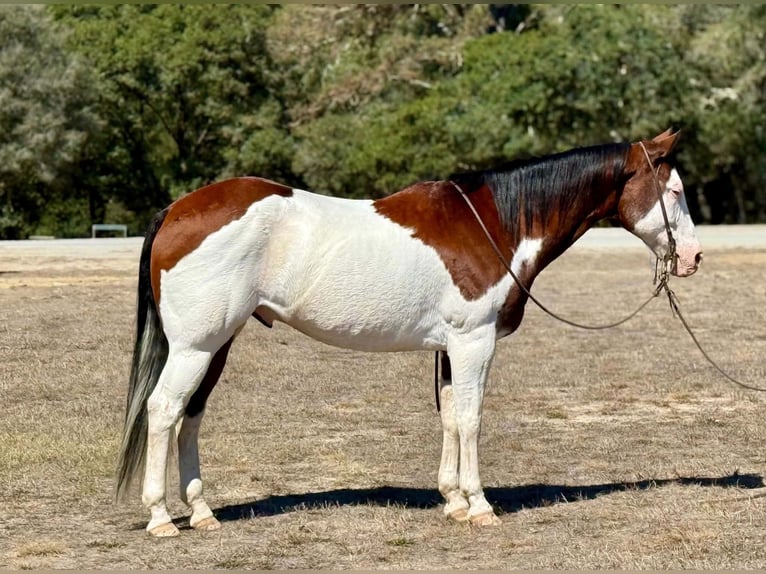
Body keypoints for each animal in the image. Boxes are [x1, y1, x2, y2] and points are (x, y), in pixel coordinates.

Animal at [116, 129, 702, 536]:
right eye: (673, 190)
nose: (694, 257)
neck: (498, 223)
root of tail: (177, 209)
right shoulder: (473, 341)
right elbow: (470, 418)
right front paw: (480, 506)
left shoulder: (449, 348)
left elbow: (449, 417)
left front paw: (454, 501)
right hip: (195, 347)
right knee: (164, 410)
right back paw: (161, 518)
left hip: (217, 344)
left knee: (191, 416)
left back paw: (201, 512)